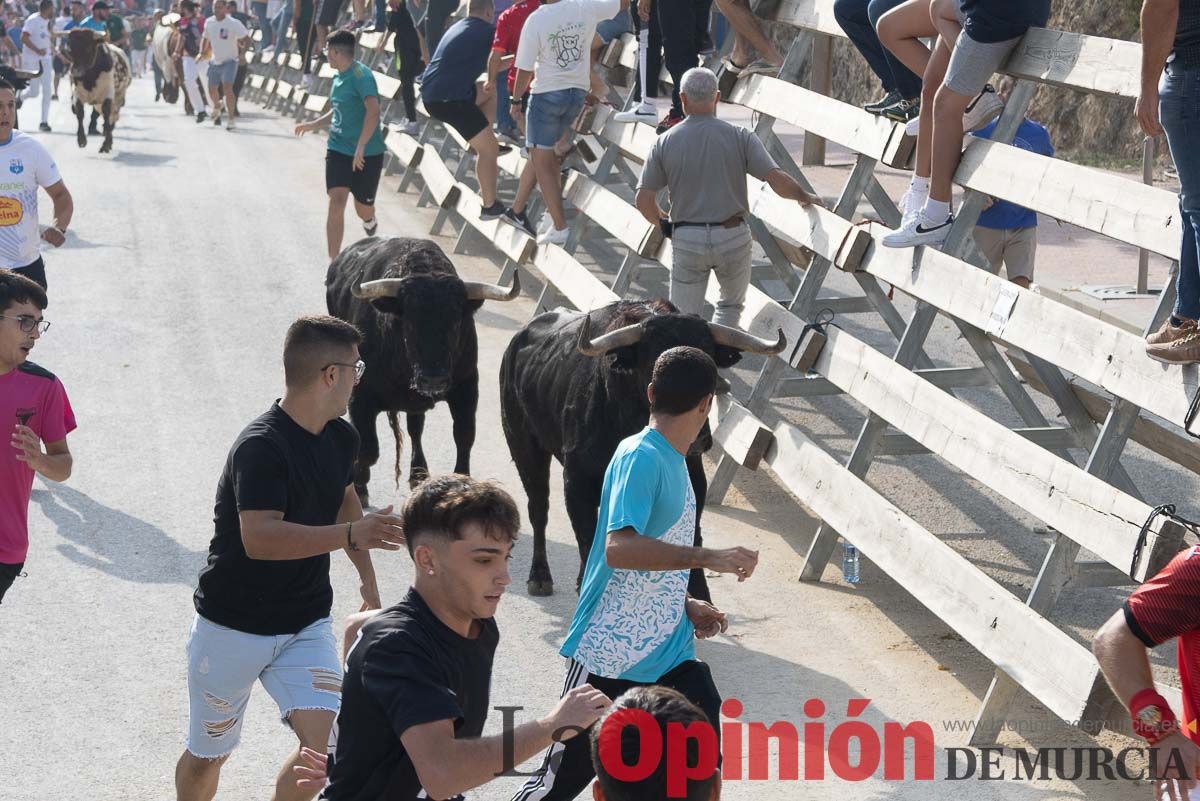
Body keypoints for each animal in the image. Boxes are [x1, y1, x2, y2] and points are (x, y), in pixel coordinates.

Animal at [326, 235, 518, 503]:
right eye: (409, 322)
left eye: (456, 322)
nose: (433, 380)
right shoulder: (360, 396)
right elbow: (368, 448)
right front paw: (360, 486)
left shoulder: (467, 386)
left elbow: (464, 436)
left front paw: (463, 484)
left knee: (415, 428)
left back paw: (418, 474)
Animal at [499, 299, 787, 599]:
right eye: (654, 365)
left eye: (711, 364)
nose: (698, 439)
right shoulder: (577, 481)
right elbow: (587, 537)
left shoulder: (694, 480)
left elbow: (690, 537)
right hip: (523, 443)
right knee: (538, 508)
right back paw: (539, 576)